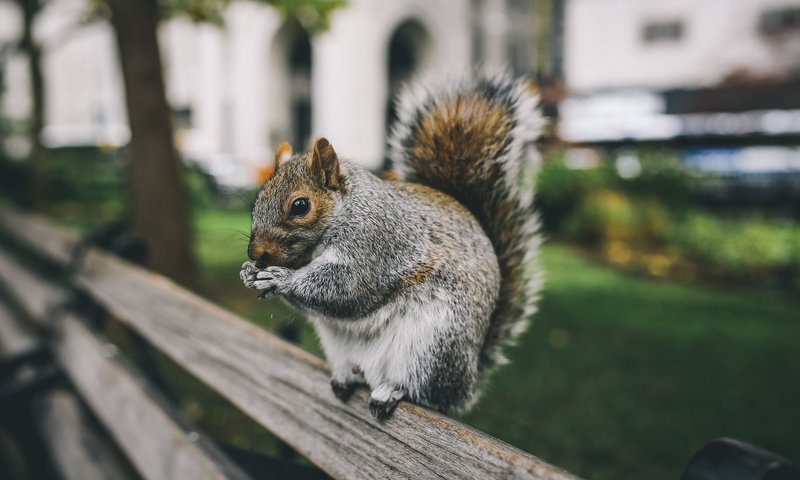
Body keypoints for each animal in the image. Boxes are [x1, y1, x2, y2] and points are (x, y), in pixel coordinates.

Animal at [239, 72, 544, 420]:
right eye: (257, 201)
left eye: (300, 206)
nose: (256, 253)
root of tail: (469, 380)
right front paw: (249, 272)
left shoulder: (376, 244)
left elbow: (347, 288)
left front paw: (281, 279)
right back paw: (345, 380)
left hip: (432, 346)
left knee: (424, 390)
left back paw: (391, 391)